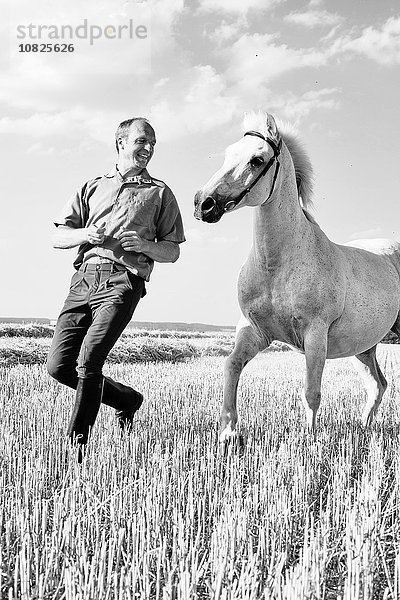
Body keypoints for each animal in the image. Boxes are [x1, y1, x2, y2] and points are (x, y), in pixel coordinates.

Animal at [194, 110, 400, 442]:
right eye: (228, 153)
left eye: (257, 159)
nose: (203, 203)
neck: (277, 267)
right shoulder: (254, 331)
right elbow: (231, 366)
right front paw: (227, 432)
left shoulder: (315, 335)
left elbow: (311, 392)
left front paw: (309, 439)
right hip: (364, 348)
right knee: (377, 385)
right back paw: (364, 428)